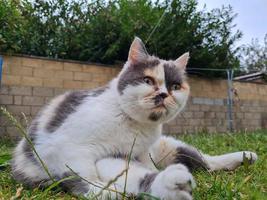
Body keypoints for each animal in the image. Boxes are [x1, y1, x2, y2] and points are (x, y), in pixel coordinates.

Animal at [11, 36, 258, 199]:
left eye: (175, 86)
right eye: (148, 80)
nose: (163, 94)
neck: (132, 125)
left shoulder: (138, 154)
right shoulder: (67, 151)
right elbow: (88, 181)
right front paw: (106, 191)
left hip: (170, 146)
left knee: (207, 162)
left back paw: (244, 156)